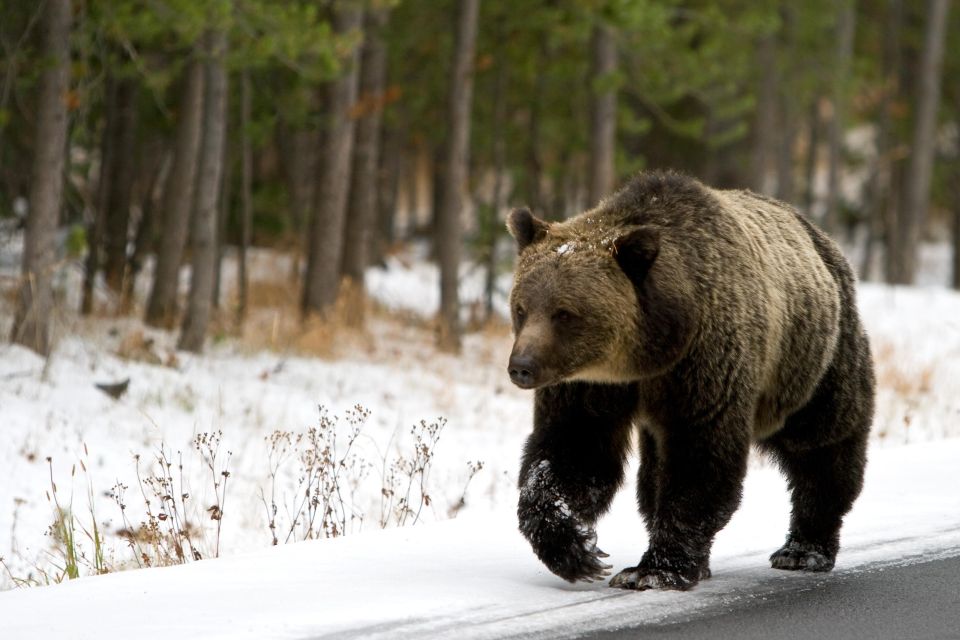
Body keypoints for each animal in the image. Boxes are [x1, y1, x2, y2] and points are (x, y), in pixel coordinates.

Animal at [506, 169, 872, 592]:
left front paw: (656, 569)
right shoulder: (590, 384)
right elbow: (573, 449)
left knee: (823, 444)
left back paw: (803, 549)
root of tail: (824, 240)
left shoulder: (703, 362)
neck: (648, 355)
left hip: (812, 360)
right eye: (521, 307)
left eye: (564, 313)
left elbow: (699, 456)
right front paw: (577, 549)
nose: (522, 366)